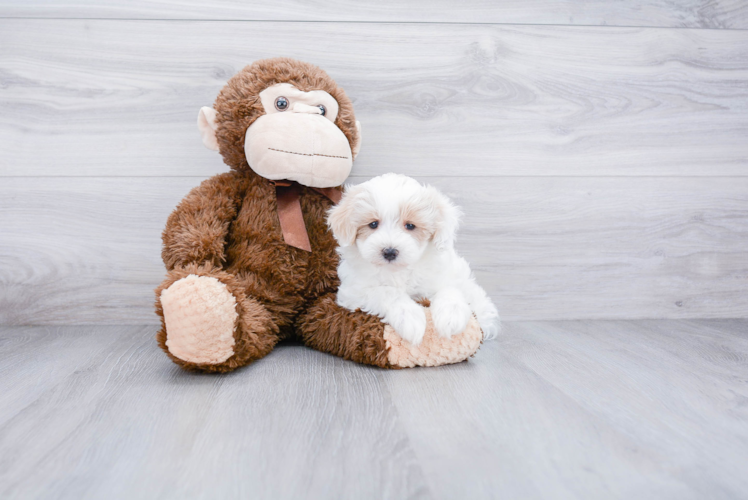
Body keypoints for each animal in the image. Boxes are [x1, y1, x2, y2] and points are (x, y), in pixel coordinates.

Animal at [326, 174, 496, 346]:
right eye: (373, 224)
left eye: (410, 226)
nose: (389, 252)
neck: (398, 270)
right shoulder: (353, 292)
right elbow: (388, 292)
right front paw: (409, 317)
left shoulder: (443, 276)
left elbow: (449, 289)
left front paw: (451, 316)